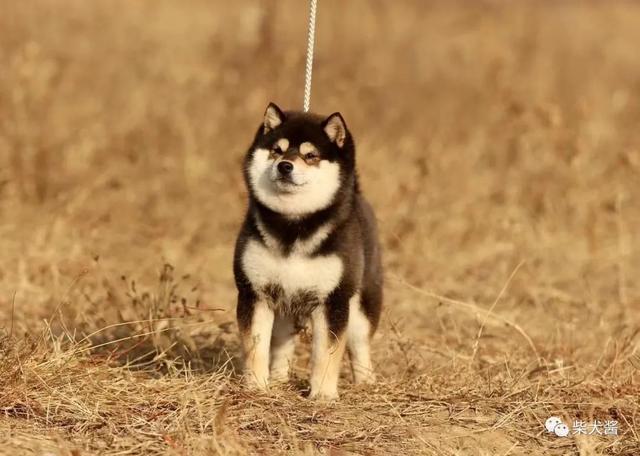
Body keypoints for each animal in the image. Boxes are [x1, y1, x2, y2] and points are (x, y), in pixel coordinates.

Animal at [235, 102, 384, 400]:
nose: (284, 166)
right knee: (282, 344)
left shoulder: (333, 300)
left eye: (311, 155)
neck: (293, 225)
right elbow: (256, 347)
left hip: (361, 304)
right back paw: (279, 379)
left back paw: (365, 382)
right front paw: (256, 386)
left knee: (360, 345)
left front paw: (323, 394)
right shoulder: (254, 293)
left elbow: (326, 354)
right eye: (277, 150)